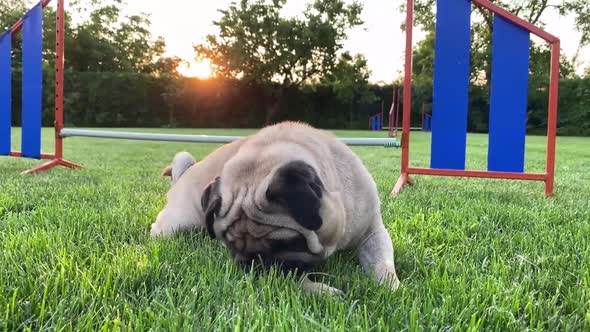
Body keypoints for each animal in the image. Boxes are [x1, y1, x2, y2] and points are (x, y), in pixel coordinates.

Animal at [153, 122, 402, 294]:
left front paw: (390, 288)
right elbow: (296, 279)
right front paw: (322, 291)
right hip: (174, 224)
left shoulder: (372, 232)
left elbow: (383, 262)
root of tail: (185, 174)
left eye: (286, 243)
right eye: (229, 244)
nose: (250, 262)